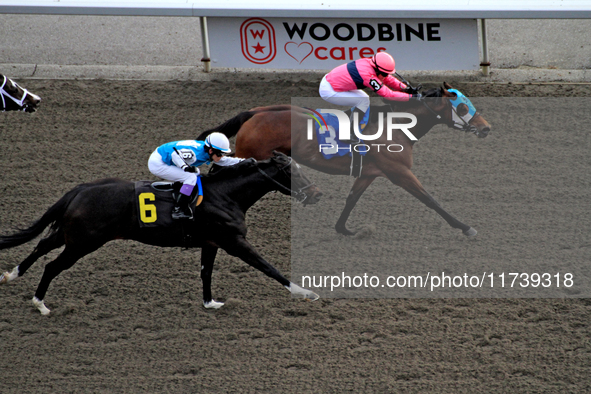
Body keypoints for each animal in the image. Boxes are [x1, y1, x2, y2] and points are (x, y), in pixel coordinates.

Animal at [0, 152, 322, 316]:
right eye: (292, 173)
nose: (317, 194)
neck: (225, 194)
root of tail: (80, 189)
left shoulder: (212, 242)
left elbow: (206, 273)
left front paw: (210, 303)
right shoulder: (234, 241)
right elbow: (267, 267)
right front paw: (304, 292)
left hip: (70, 234)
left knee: (42, 245)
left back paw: (10, 275)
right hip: (83, 242)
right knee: (51, 265)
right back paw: (40, 303)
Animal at [201, 82, 492, 235]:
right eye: (462, 107)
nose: (487, 128)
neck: (396, 127)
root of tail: (254, 112)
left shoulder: (368, 173)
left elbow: (351, 199)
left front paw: (344, 229)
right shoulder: (399, 172)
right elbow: (429, 199)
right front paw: (465, 226)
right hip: (247, 157)